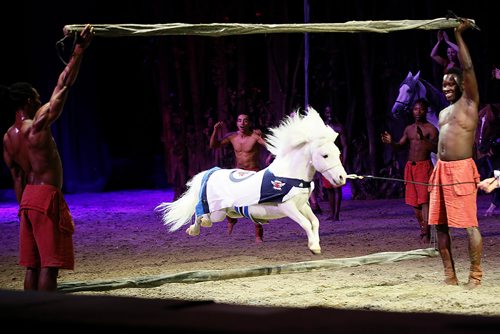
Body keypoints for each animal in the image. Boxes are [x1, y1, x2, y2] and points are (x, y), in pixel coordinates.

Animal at [154, 107, 346, 253]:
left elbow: (315, 221)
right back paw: (194, 229)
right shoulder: (287, 207)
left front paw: (316, 245)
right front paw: (313, 247)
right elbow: (306, 223)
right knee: (200, 211)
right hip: (217, 211)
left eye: (338, 153)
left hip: (223, 211)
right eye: (325, 155)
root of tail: (212, 172)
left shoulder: (302, 205)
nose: (342, 178)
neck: (289, 176)